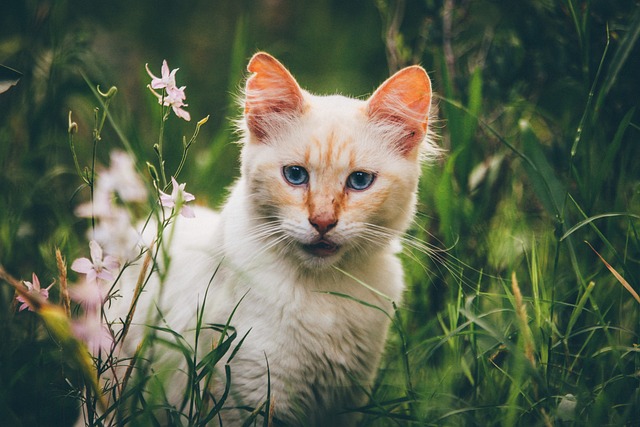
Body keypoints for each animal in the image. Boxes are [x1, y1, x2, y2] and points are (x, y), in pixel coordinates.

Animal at [107, 51, 438, 426]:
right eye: (295, 175)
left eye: (359, 181)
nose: (322, 222)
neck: (324, 293)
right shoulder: (251, 398)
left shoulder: (347, 402)